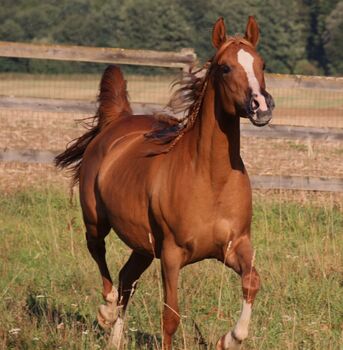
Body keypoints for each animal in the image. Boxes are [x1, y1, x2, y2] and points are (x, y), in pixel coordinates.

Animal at [57, 15, 276, 348]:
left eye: (262, 64)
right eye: (225, 67)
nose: (261, 106)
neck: (210, 179)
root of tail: (117, 121)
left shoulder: (236, 245)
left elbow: (252, 282)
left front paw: (230, 338)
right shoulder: (172, 255)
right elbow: (170, 317)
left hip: (143, 245)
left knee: (127, 279)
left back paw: (115, 339)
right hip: (96, 219)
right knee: (98, 253)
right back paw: (106, 309)